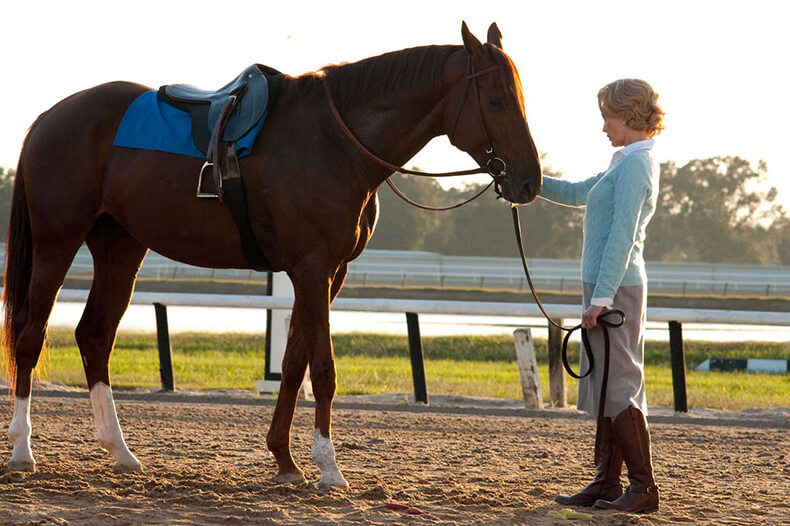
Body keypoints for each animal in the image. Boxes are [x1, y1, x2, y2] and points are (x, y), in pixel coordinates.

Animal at [3, 21, 540, 490]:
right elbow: (322, 368)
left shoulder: (328, 273)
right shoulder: (312, 270)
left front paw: (285, 459)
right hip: (57, 243)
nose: (529, 181)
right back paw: (23, 451)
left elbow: (295, 363)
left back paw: (121, 452)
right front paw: (328, 467)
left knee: (95, 337)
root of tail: (50, 117)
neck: (337, 142)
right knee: (30, 337)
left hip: (120, 249)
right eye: (495, 100)